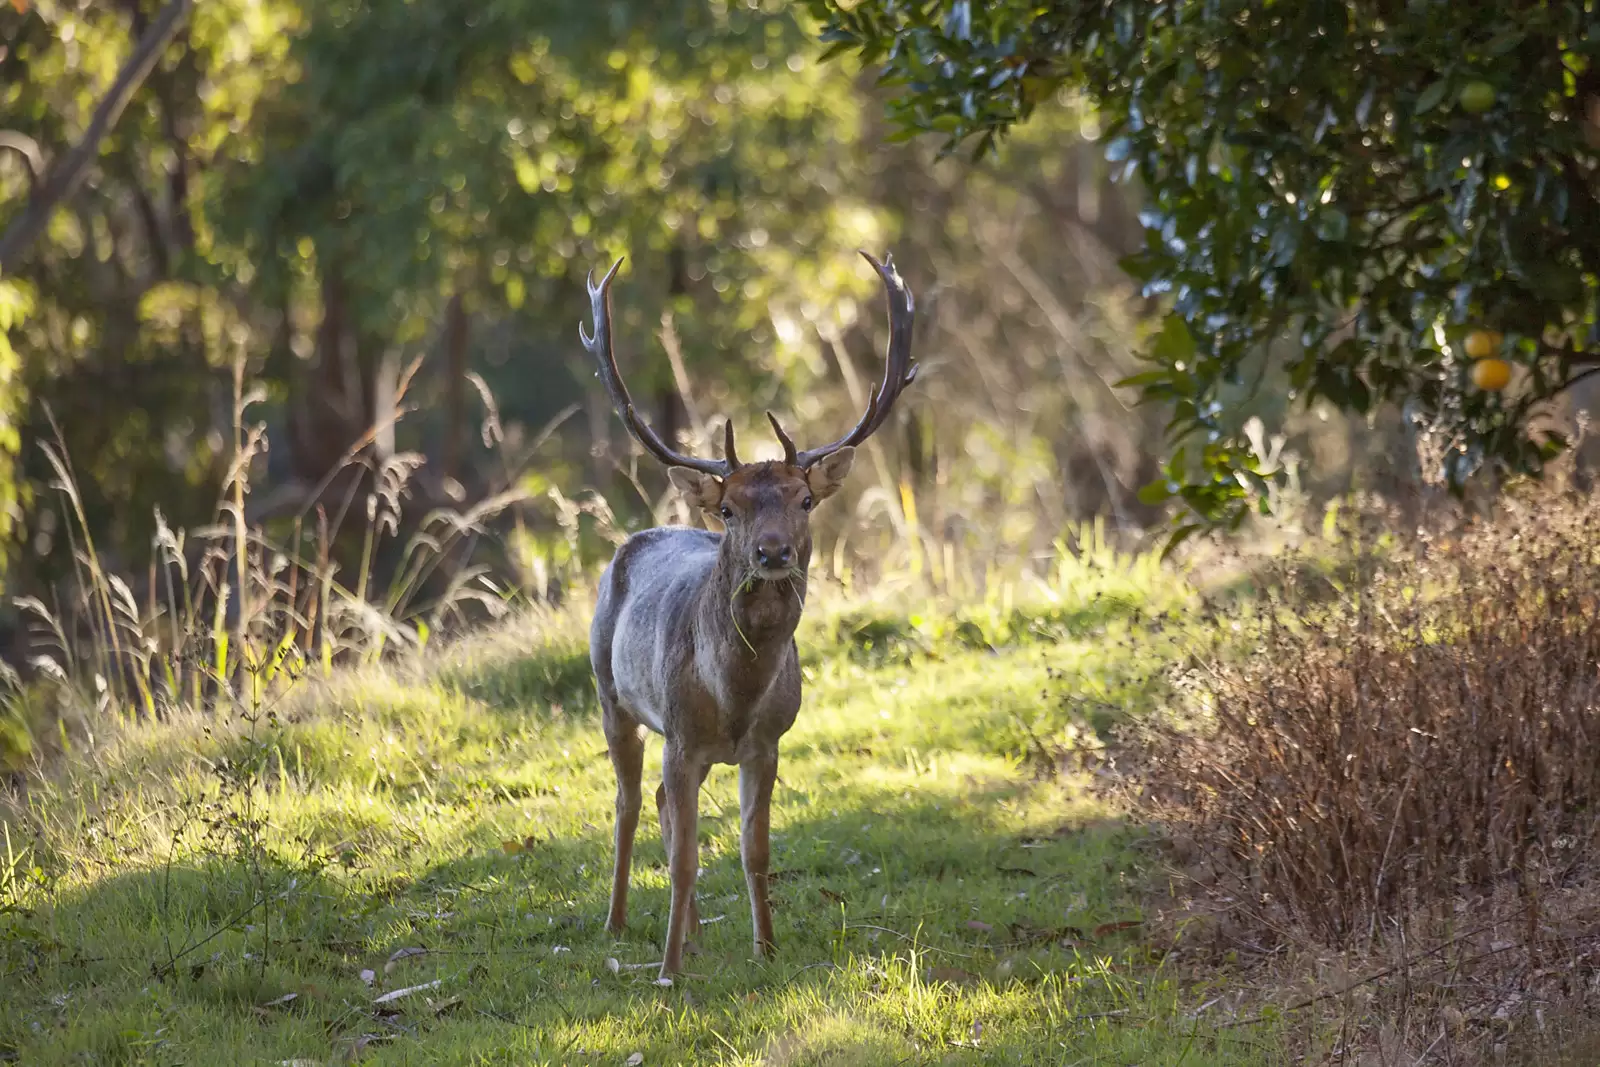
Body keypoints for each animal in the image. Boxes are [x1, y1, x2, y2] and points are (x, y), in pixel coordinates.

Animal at [582, 252, 921, 985]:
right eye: (730, 509)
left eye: (804, 500)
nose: (772, 552)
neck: (734, 695)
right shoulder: (681, 735)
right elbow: (684, 859)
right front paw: (668, 973)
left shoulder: (767, 742)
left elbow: (754, 850)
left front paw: (766, 950)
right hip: (609, 689)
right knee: (627, 802)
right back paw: (619, 922)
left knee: (659, 802)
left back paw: (696, 935)